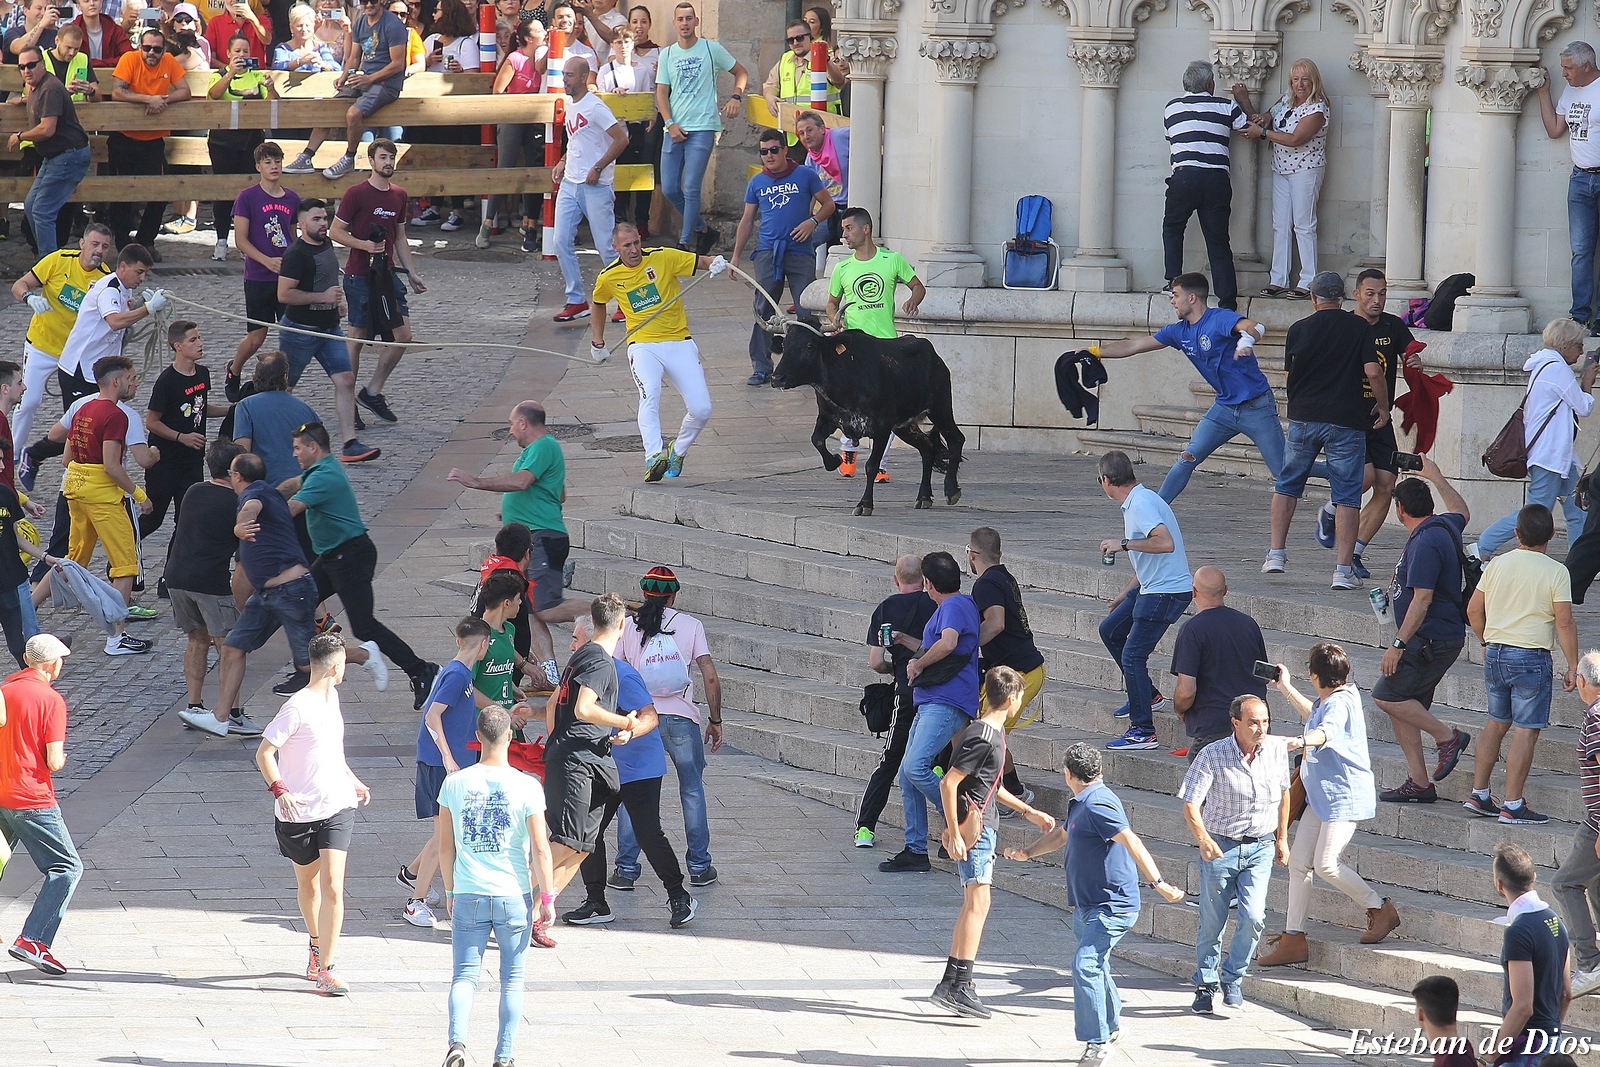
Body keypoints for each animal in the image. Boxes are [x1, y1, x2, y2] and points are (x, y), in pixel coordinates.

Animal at [771, 323, 960, 515]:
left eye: (809, 346)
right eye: (785, 345)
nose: (777, 378)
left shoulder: (882, 427)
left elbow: (871, 465)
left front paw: (865, 504)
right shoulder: (827, 418)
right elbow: (816, 439)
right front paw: (835, 460)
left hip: (940, 408)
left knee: (956, 439)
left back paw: (951, 491)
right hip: (904, 426)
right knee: (927, 448)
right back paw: (923, 497)